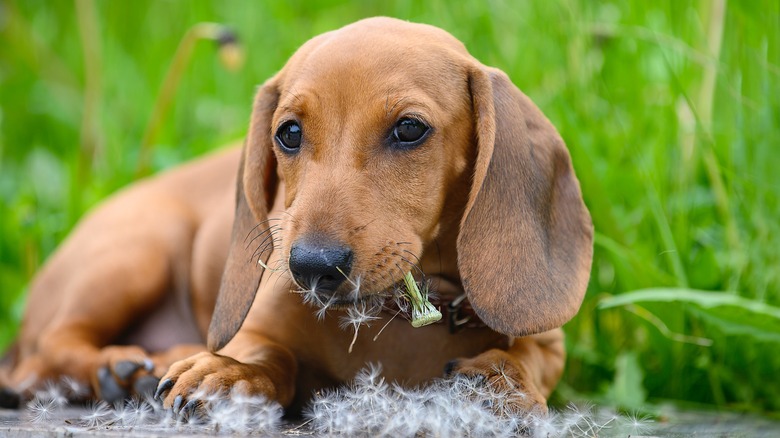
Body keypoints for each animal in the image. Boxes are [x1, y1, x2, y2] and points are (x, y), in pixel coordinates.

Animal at [0, 17, 592, 414]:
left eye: (409, 128)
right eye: (288, 133)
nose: (311, 267)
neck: (394, 319)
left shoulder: (549, 344)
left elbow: (527, 358)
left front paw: (499, 380)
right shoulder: (262, 325)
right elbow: (268, 354)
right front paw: (230, 372)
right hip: (137, 251)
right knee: (43, 354)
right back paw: (116, 368)